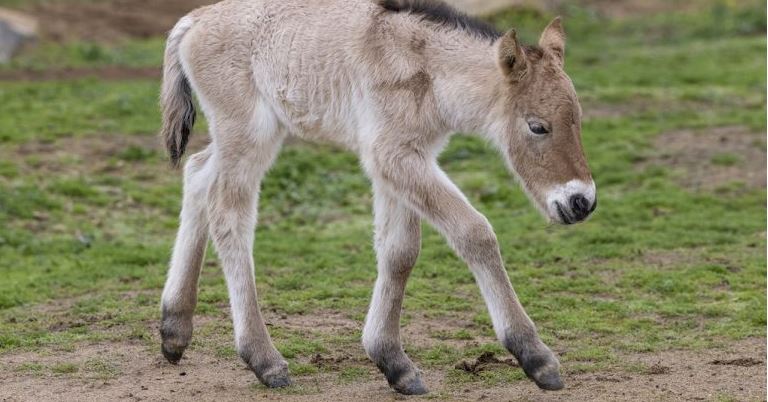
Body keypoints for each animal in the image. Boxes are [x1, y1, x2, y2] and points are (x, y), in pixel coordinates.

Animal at [159, 0, 596, 396]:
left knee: (197, 173)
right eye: (537, 126)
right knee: (228, 217)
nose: (582, 202)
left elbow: (399, 251)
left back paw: (174, 329)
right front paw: (535, 357)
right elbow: (475, 233)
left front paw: (393, 362)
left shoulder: (406, 159)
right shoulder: (392, 155)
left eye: (578, 118)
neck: (426, 69)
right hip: (248, 133)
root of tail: (194, 19)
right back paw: (264, 360)